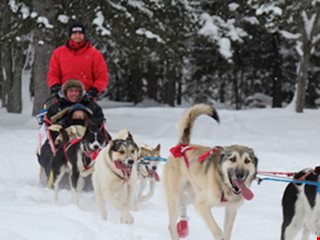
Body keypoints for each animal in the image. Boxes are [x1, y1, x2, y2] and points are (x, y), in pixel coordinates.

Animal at [162, 103, 258, 240]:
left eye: (247, 161)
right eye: (232, 159)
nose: (240, 175)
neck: (223, 185)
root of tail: (182, 146)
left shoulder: (231, 209)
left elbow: (227, 232)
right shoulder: (201, 205)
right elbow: (217, 230)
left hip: (190, 197)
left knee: (183, 208)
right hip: (177, 199)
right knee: (171, 225)